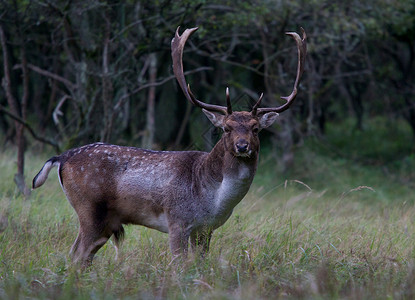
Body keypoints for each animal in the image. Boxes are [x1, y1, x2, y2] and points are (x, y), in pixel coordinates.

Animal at [32, 27, 308, 266]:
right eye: (226, 128)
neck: (214, 198)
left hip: (103, 219)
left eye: (255, 128)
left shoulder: (205, 230)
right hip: (89, 208)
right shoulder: (177, 221)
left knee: (79, 255)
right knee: (78, 254)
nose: (242, 146)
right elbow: (179, 266)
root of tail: (61, 157)